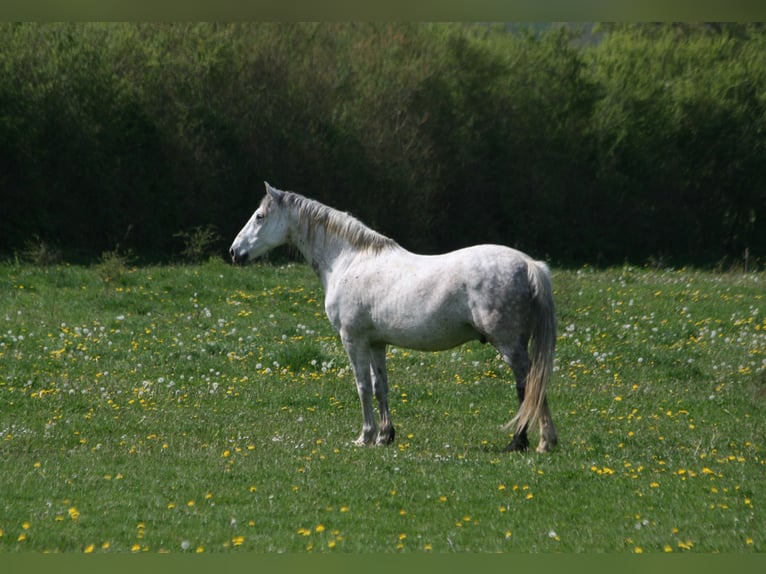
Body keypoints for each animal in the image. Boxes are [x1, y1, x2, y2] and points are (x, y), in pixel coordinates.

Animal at [228, 184, 560, 454]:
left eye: (259, 216)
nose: (234, 252)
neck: (348, 260)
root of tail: (529, 265)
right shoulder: (377, 343)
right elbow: (380, 387)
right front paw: (385, 436)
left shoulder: (353, 340)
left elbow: (362, 386)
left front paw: (365, 436)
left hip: (509, 345)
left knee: (528, 384)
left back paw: (528, 442)